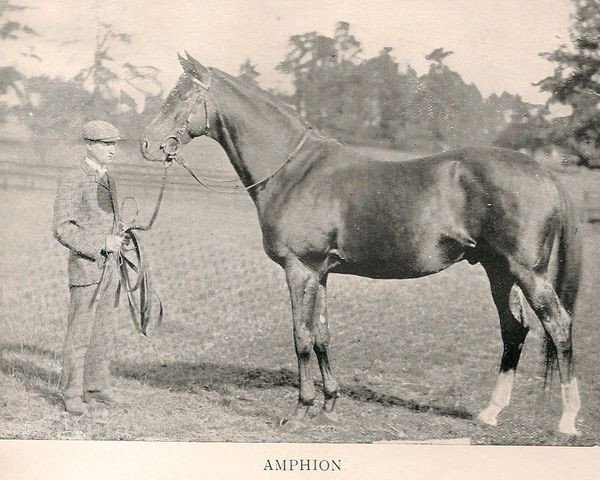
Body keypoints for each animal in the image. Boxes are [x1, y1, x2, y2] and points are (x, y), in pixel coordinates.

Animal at [139, 52, 580, 436]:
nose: (146, 144)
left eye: (183, 97)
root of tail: (543, 172)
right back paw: (491, 412)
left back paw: (567, 421)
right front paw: (330, 405)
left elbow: (300, 338)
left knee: (558, 325)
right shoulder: (320, 273)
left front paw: (299, 412)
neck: (294, 172)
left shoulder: (299, 270)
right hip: (497, 270)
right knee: (514, 329)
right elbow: (321, 337)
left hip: (528, 272)